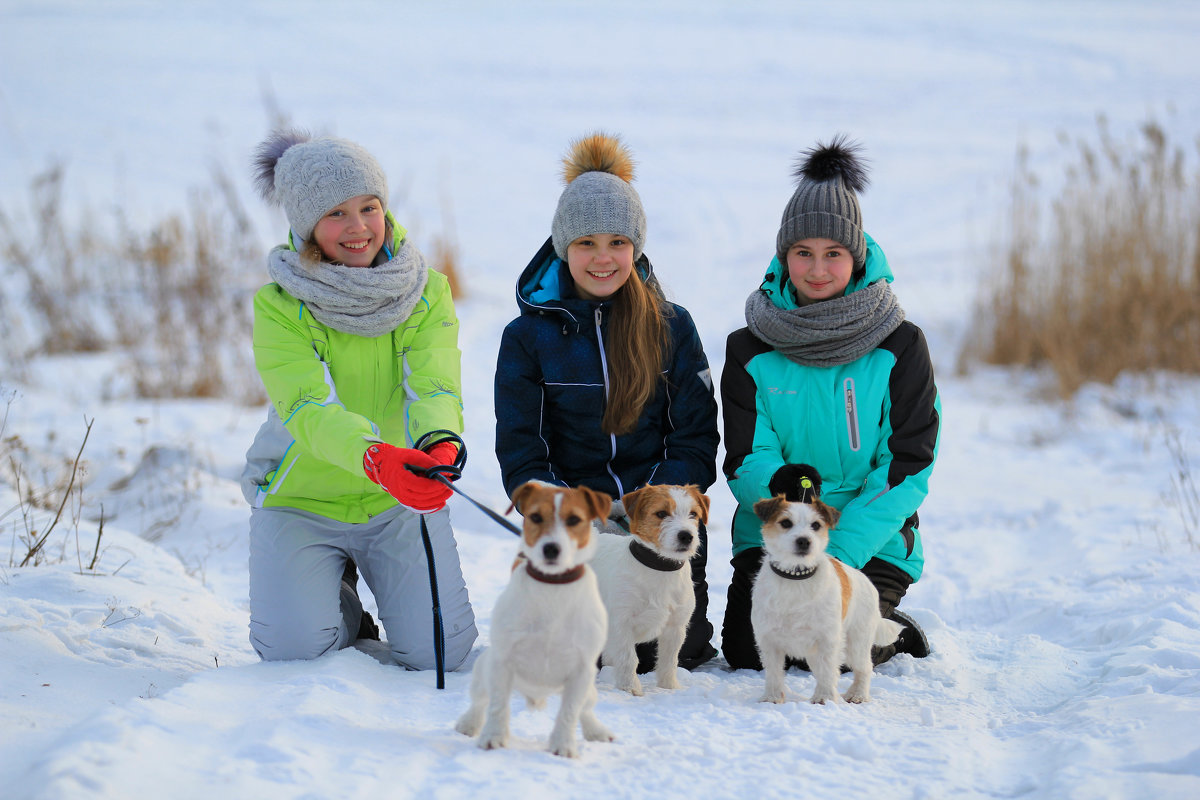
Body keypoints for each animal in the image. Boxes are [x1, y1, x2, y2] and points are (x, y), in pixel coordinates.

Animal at [453, 482, 614, 758]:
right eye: (536, 517)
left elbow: (570, 712)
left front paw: (563, 744)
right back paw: (469, 723)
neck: (552, 587)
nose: (551, 548)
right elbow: (498, 705)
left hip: (590, 689)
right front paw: (494, 737)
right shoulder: (502, 663)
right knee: (480, 700)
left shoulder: (582, 670)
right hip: (483, 671)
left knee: (585, 709)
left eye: (574, 519)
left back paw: (596, 730)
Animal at [592, 482, 710, 695]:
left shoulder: (675, 627)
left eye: (693, 514)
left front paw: (669, 687)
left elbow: (669, 660)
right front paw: (630, 688)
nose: (686, 536)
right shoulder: (621, 623)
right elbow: (629, 659)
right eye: (661, 513)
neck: (660, 567)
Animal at [748, 489, 902, 705]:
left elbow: (828, 672)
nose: (804, 540)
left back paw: (857, 694)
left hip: (856, 643)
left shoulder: (828, 639)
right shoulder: (769, 639)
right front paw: (772, 697)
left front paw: (825, 698)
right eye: (785, 522)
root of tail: (868, 583)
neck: (796, 577)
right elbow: (774, 672)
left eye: (816, 525)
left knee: (863, 668)